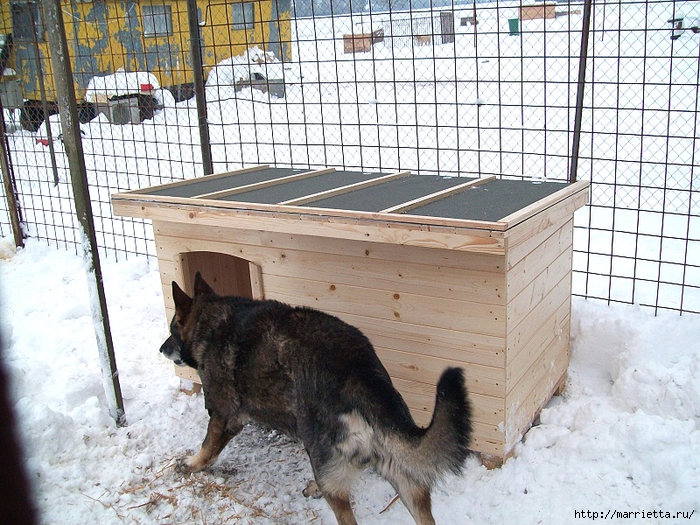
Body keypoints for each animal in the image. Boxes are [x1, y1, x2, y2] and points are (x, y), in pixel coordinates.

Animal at [160, 272, 470, 520]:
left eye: (173, 329)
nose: (162, 349)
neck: (211, 320)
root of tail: (359, 373)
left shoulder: (223, 415)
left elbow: (207, 447)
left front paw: (192, 464)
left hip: (326, 462)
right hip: (404, 479)